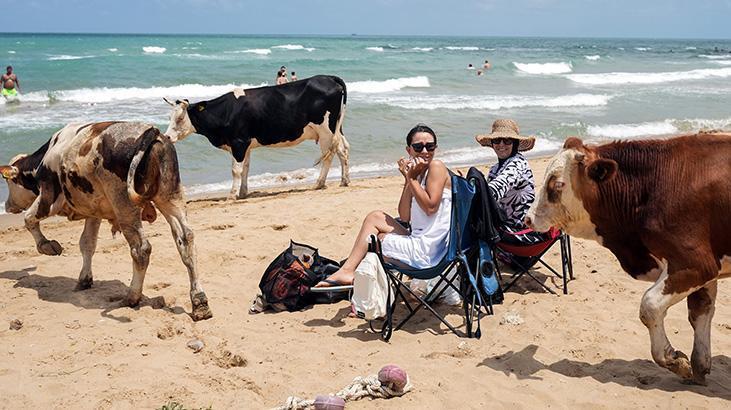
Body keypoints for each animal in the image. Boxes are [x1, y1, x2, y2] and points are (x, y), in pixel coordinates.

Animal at [0, 121, 213, 320]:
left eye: (9, 182)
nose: (7, 205)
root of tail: (151, 132)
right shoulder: (94, 213)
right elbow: (87, 244)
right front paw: (84, 279)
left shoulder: (48, 197)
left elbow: (28, 218)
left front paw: (46, 245)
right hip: (170, 197)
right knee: (186, 239)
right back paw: (199, 302)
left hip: (124, 205)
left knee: (141, 249)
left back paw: (132, 297)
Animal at [165, 76, 348, 200]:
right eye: (169, 117)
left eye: (180, 118)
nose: (167, 136)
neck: (226, 111)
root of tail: (328, 77)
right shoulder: (245, 145)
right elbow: (245, 169)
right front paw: (242, 193)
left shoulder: (238, 143)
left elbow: (236, 170)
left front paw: (232, 195)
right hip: (336, 129)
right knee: (343, 149)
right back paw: (344, 181)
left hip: (326, 131)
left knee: (329, 155)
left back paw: (319, 183)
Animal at [528, 133, 731, 386]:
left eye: (556, 184)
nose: (528, 218)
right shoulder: (706, 269)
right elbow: (700, 312)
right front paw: (699, 366)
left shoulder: (695, 263)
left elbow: (649, 307)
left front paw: (674, 361)